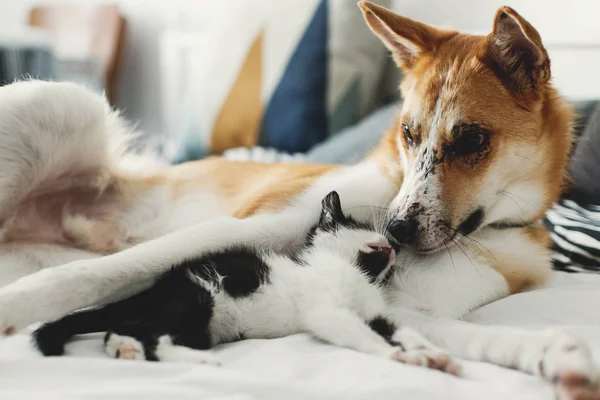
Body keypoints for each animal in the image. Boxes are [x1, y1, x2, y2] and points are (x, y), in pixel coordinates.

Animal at [30, 191, 448, 368]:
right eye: (360, 223)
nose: (393, 241)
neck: (355, 273)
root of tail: (152, 293)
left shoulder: (375, 313)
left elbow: (399, 328)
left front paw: (429, 351)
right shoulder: (327, 310)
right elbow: (359, 333)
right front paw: (397, 355)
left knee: (119, 330)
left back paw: (125, 350)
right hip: (198, 302)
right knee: (155, 338)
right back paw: (198, 361)